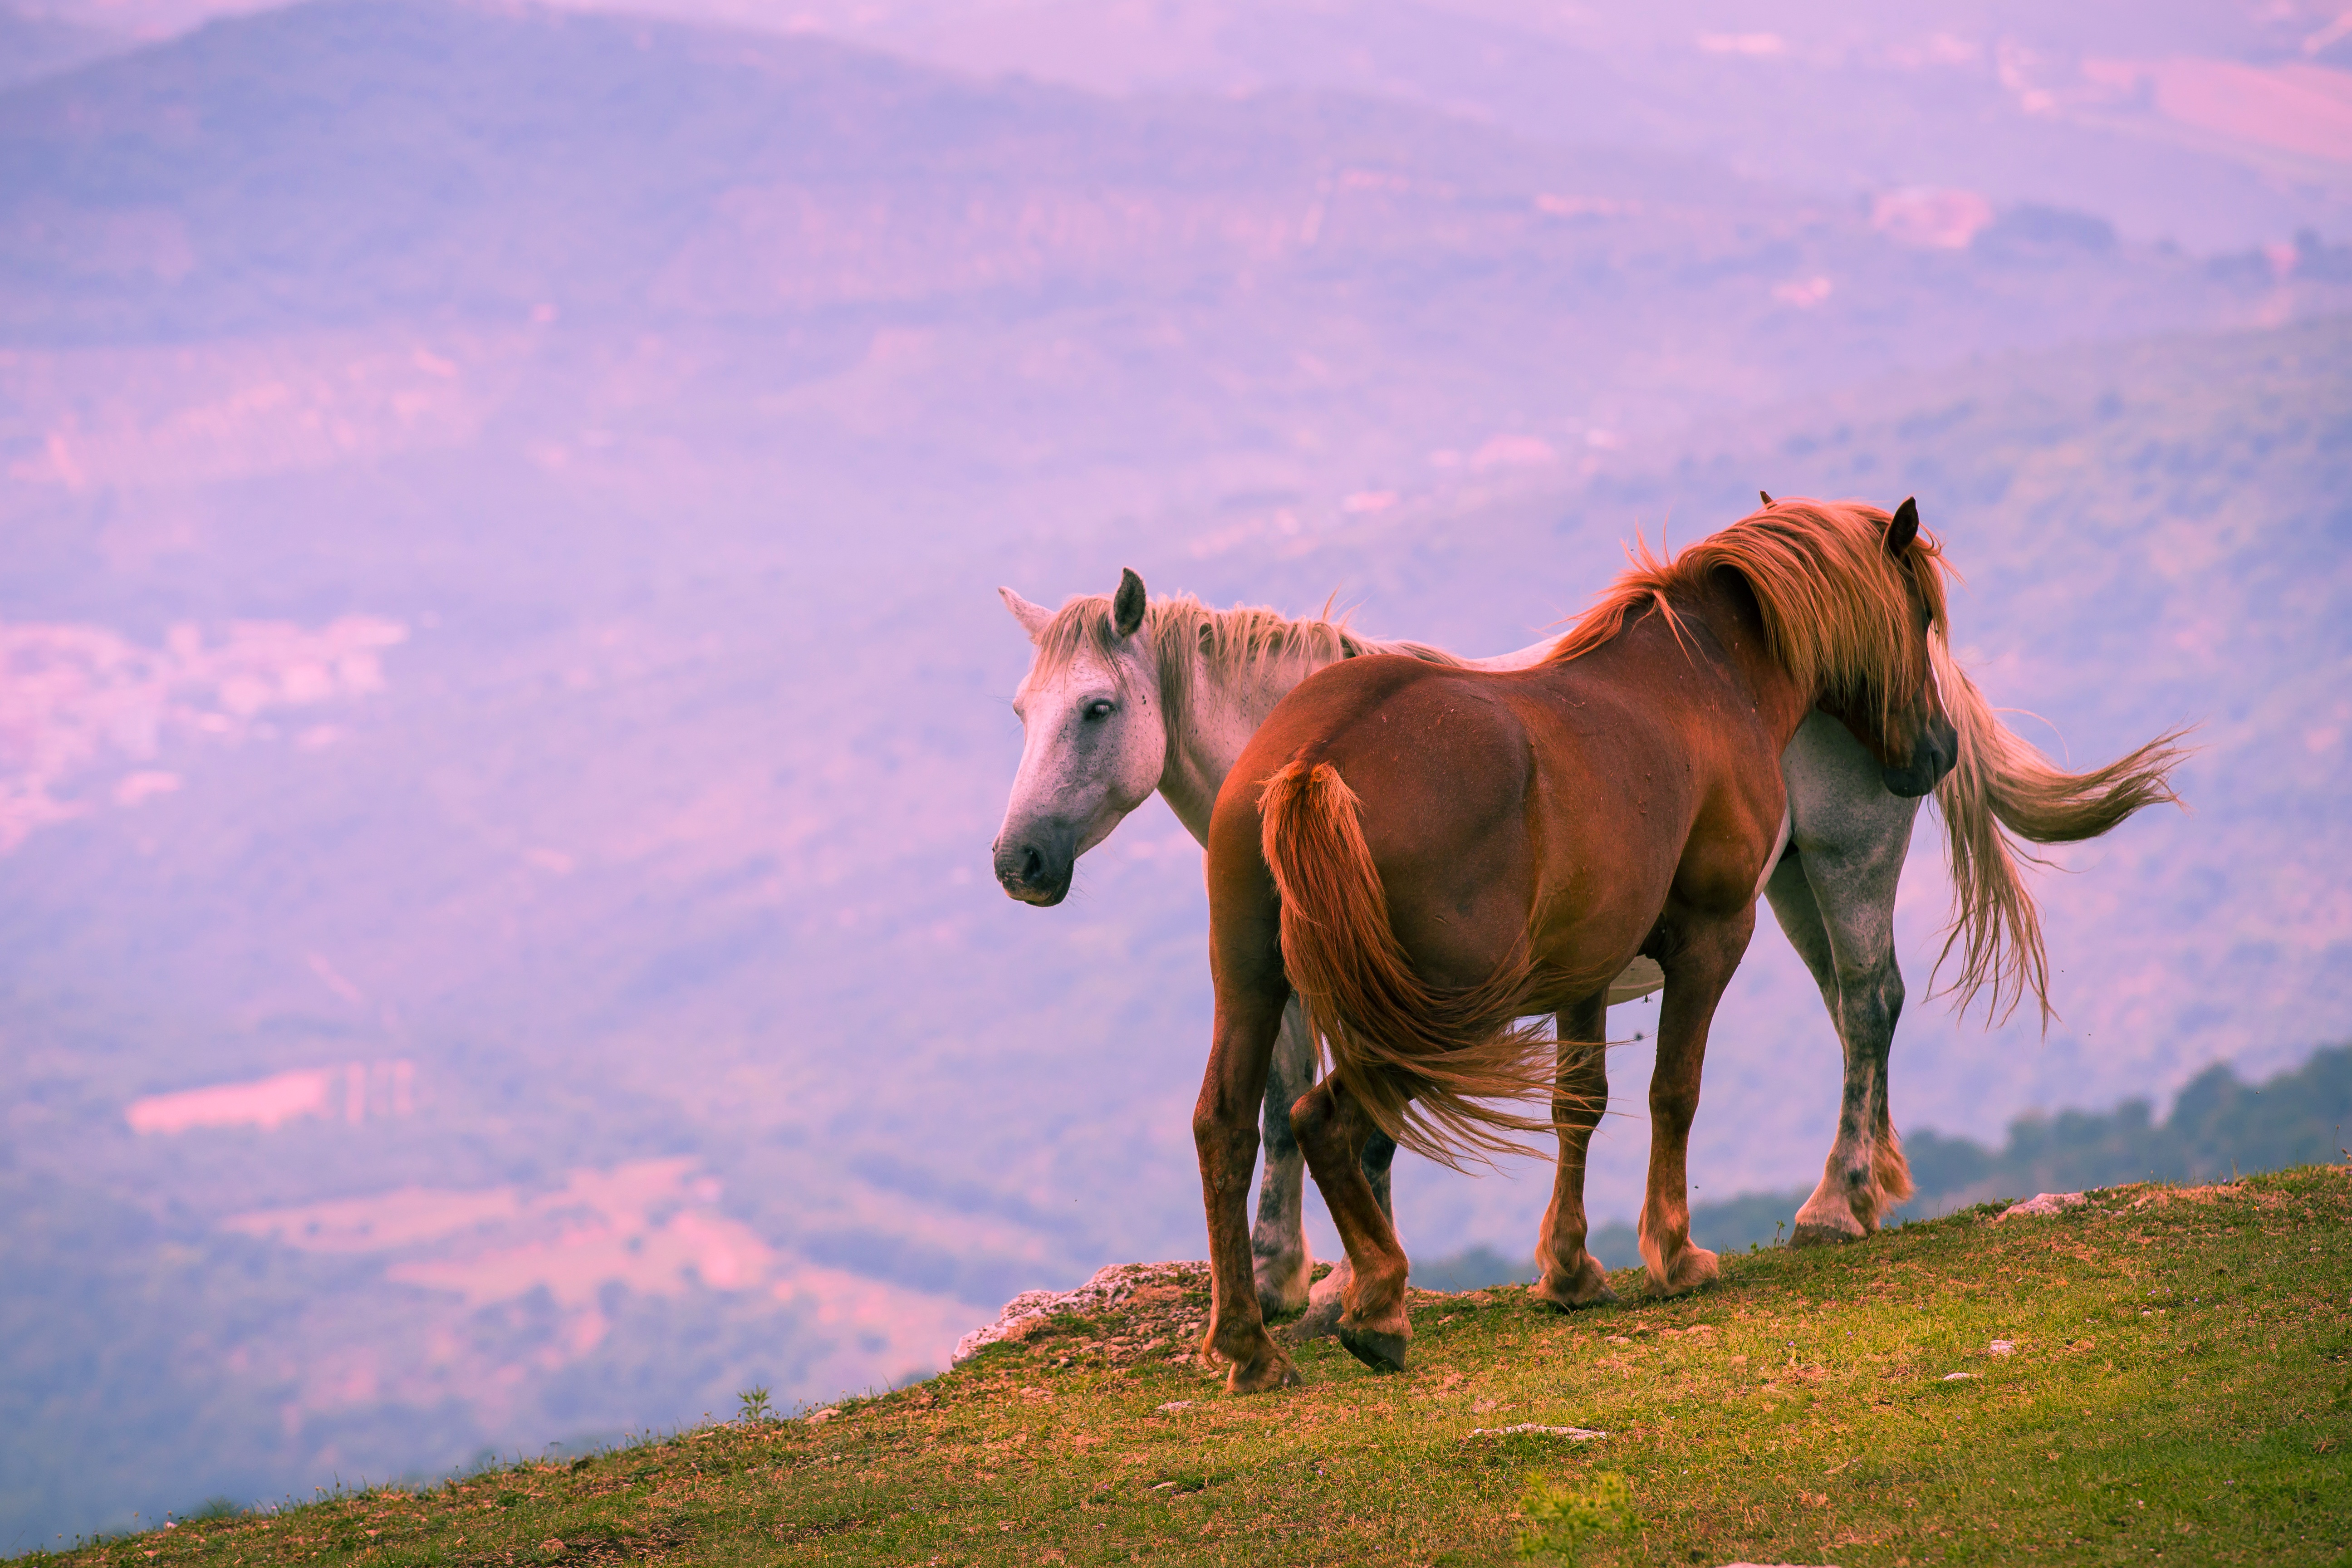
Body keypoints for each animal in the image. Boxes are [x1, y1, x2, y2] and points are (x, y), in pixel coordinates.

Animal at [992, 562, 2182, 1326]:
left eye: (1096, 709)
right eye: (1019, 710)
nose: (1018, 861)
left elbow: (1349, 1115)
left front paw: (1337, 1281)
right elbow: (1286, 1099)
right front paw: (1292, 1278)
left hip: (1845, 862)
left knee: (1868, 1000)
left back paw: (1836, 1202)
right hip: (1789, 883)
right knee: (1857, 1008)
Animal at [1195, 496, 1966, 1392]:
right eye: (1920, 615)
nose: (1937, 753)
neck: (1702, 682)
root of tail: (1315, 760)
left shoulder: (1586, 969)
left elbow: (1579, 1105)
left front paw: (1569, 1271)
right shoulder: (1712, 937)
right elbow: (1674, 1090)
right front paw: (1673, 1254)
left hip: (1252, 983)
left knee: (1226, 1125)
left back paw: (1249, 1345)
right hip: (1438, 1015)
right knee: (1323, 1119)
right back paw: (1377, 1305)